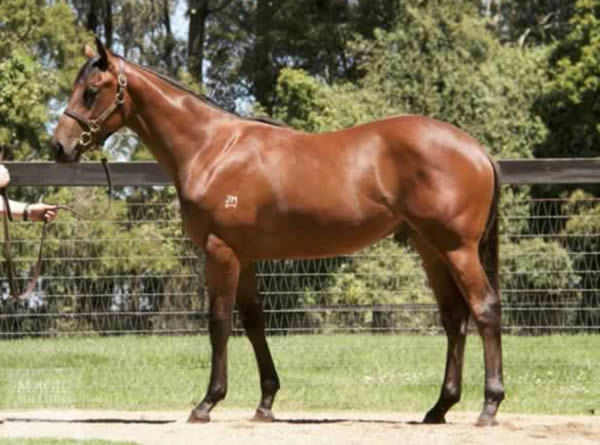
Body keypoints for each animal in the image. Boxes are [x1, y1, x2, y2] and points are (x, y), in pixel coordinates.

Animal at [51, 40, 504, 424]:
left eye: (91, 91)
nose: (58, 147)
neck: (213, 149)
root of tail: (478, 150)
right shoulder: (245, 256)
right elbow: (254, 322)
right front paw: (266, 402)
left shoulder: (220, 251)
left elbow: (219, 322)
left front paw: (207, 403)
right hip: (431, 249)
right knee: (454, 317)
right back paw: (439, 407)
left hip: (458, 249)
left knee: (484, 308)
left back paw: (489, 406)